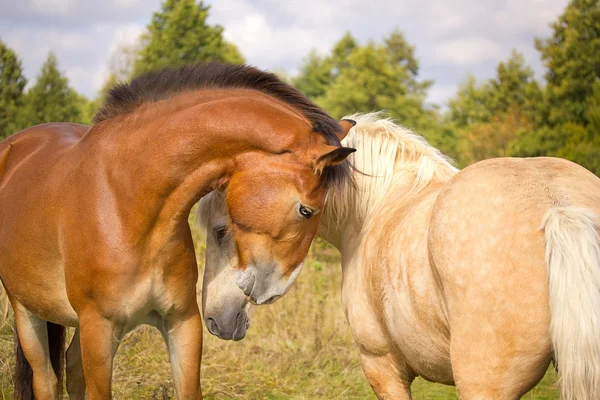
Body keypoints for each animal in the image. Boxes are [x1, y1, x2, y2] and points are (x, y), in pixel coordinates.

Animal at [0, 63, 356, 400]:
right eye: (306, 211)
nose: (272, 293)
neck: (127, 201)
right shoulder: (98, 329)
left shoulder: (182, 322)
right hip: (28, 313)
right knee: (46, 380)